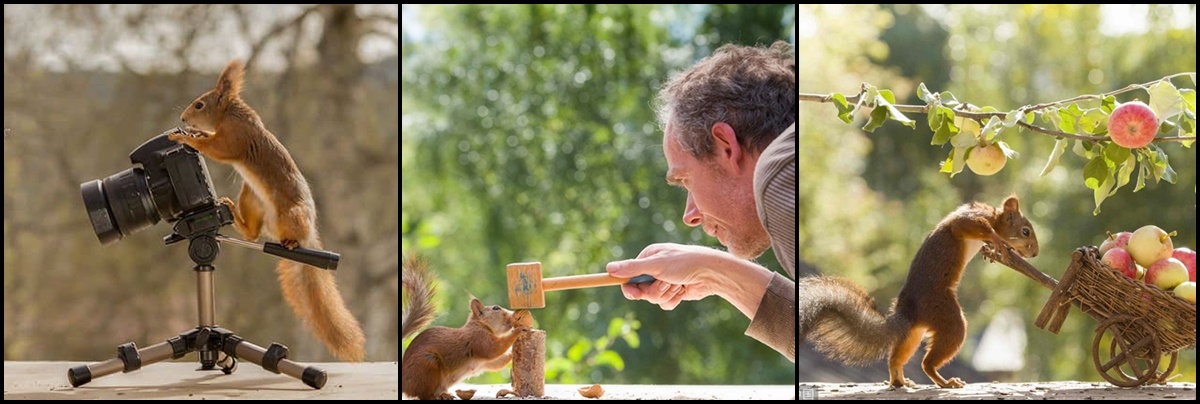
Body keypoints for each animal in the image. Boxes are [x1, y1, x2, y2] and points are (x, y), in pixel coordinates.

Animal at [169, 61, 362, 359]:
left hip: (291, 214)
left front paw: (185, 138)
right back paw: (231, 209)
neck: (230, 114)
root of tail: (307, 235)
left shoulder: (234, 137)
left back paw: (291, 243)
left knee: (280, 235)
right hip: (250, 197)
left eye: (200, 105)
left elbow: (216, 148)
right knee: (251, 234)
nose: (183, 118)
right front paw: (195, 133)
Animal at [403, 252, 535, 398]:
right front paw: (518, 330)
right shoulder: (478, 339)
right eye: (496, 308)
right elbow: (493, 350)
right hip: (427, 363)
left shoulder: (483, 363)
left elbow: (496, 362)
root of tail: (403, 383)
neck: (480, 325)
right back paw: (438, 396)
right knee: (423, 394)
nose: (513, 315)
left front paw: (512, 354)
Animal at [796, 195, 1032, 386]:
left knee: (896, 358)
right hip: (945, 314)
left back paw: (899, 381)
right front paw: (997, 241)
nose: (1035, 252)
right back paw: (944, 382)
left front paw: (992, 250)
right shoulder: (971, 218)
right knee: (929, 361)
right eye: (1026, 231)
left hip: (914, 333)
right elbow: (966, 225)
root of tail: (908, 312)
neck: (994, 217)